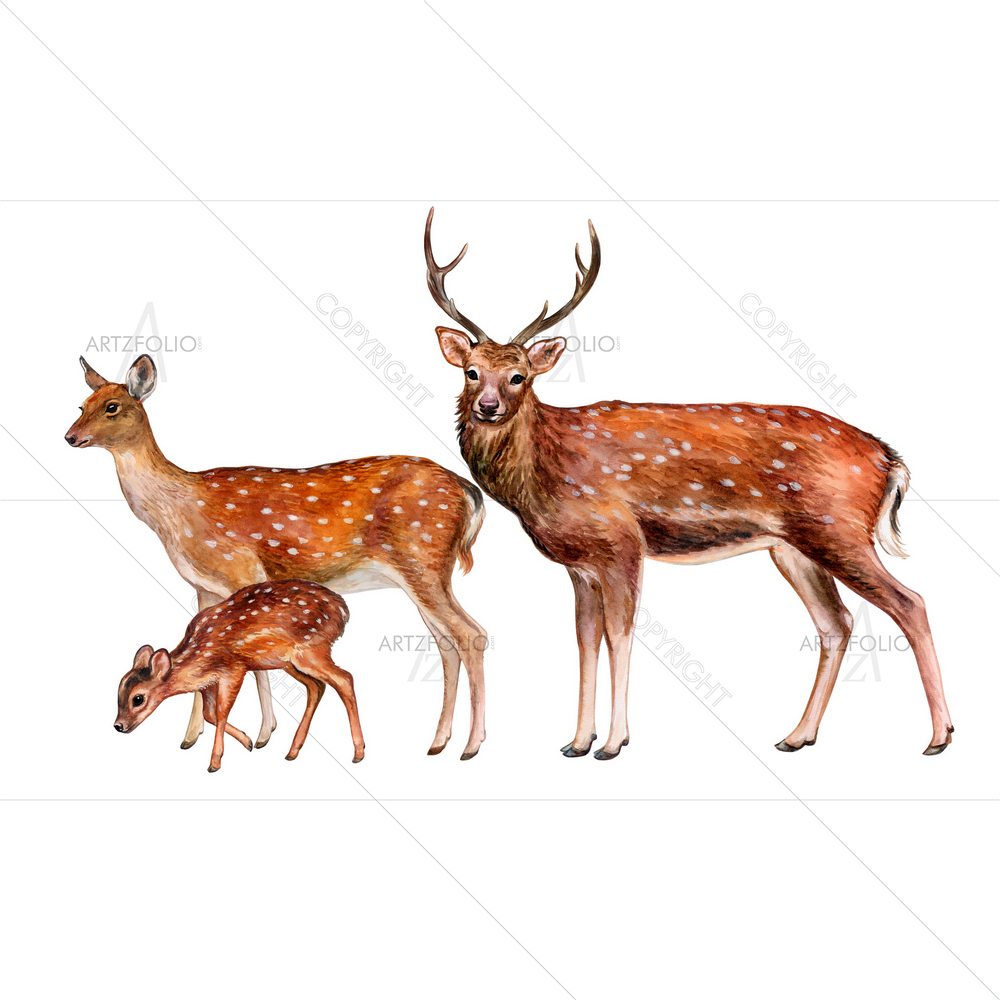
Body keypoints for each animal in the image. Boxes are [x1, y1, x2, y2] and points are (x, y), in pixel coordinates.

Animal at [115, 580, 363, 771]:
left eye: (138, 699)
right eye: (117, 695)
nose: (118, 726)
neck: (200, 655)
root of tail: (344, 611)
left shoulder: (233, 669)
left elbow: (221, 711)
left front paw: (215, 762)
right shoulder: (207, 682)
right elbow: (209, 714)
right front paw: (248, 741)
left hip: (310, 650)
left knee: (344, 678)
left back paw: (358, 753)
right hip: (287, 662)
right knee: (316, 686)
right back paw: (292, 751)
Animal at [424, 207, 953, 759]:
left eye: (520, 376)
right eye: (471, 371)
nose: (488, 406)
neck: (544, 474)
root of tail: (887, 458)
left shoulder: (621, 542)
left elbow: (620, 634)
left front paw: (614, 742)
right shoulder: (579, 563)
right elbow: (585, 638)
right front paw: (576, 741)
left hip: (839, 528)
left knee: (909, 602)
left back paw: (939, 737)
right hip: (793, 546)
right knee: (836, 623)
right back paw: (797, 736)